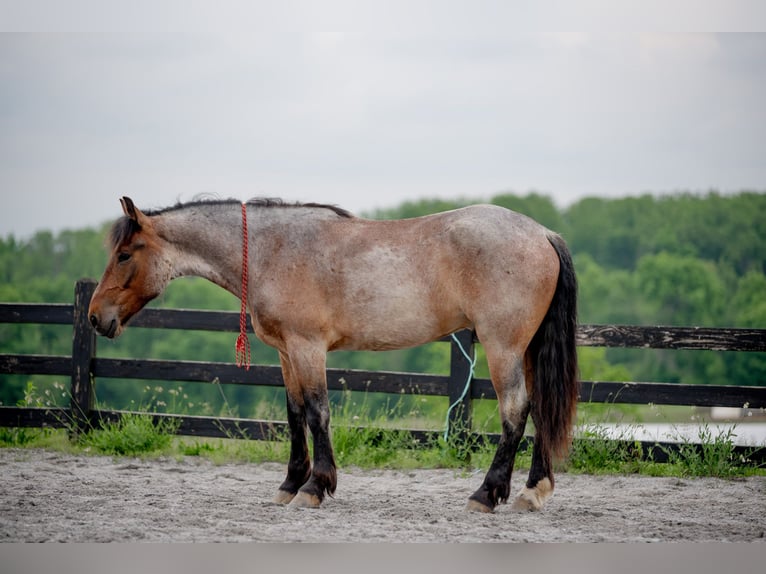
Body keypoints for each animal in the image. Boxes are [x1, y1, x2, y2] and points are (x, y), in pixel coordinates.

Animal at [87, 196, 580, 516]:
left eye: (125, 254)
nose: (95, 317)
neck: (273, 249)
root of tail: (544, 234)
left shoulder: (308, 347)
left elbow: (317, 412)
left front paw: (314, 487)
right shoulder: (287, 353)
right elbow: (294, 414)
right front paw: (290, 483)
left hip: (501, 347)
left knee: (515, 411)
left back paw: (486, 493)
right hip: (526, 350)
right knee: (540, 410)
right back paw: (533, 492)